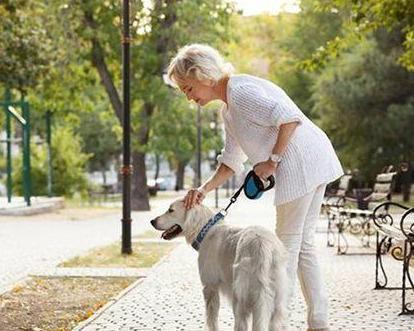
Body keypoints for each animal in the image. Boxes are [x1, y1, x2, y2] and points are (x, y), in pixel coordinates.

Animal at [150, 200, 288, 331]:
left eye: (171, 210)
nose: (152, 221)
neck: (205, 231)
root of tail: (264, 245)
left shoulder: (210, 287)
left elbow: (211, 320)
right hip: (276, 303)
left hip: (241, 298)